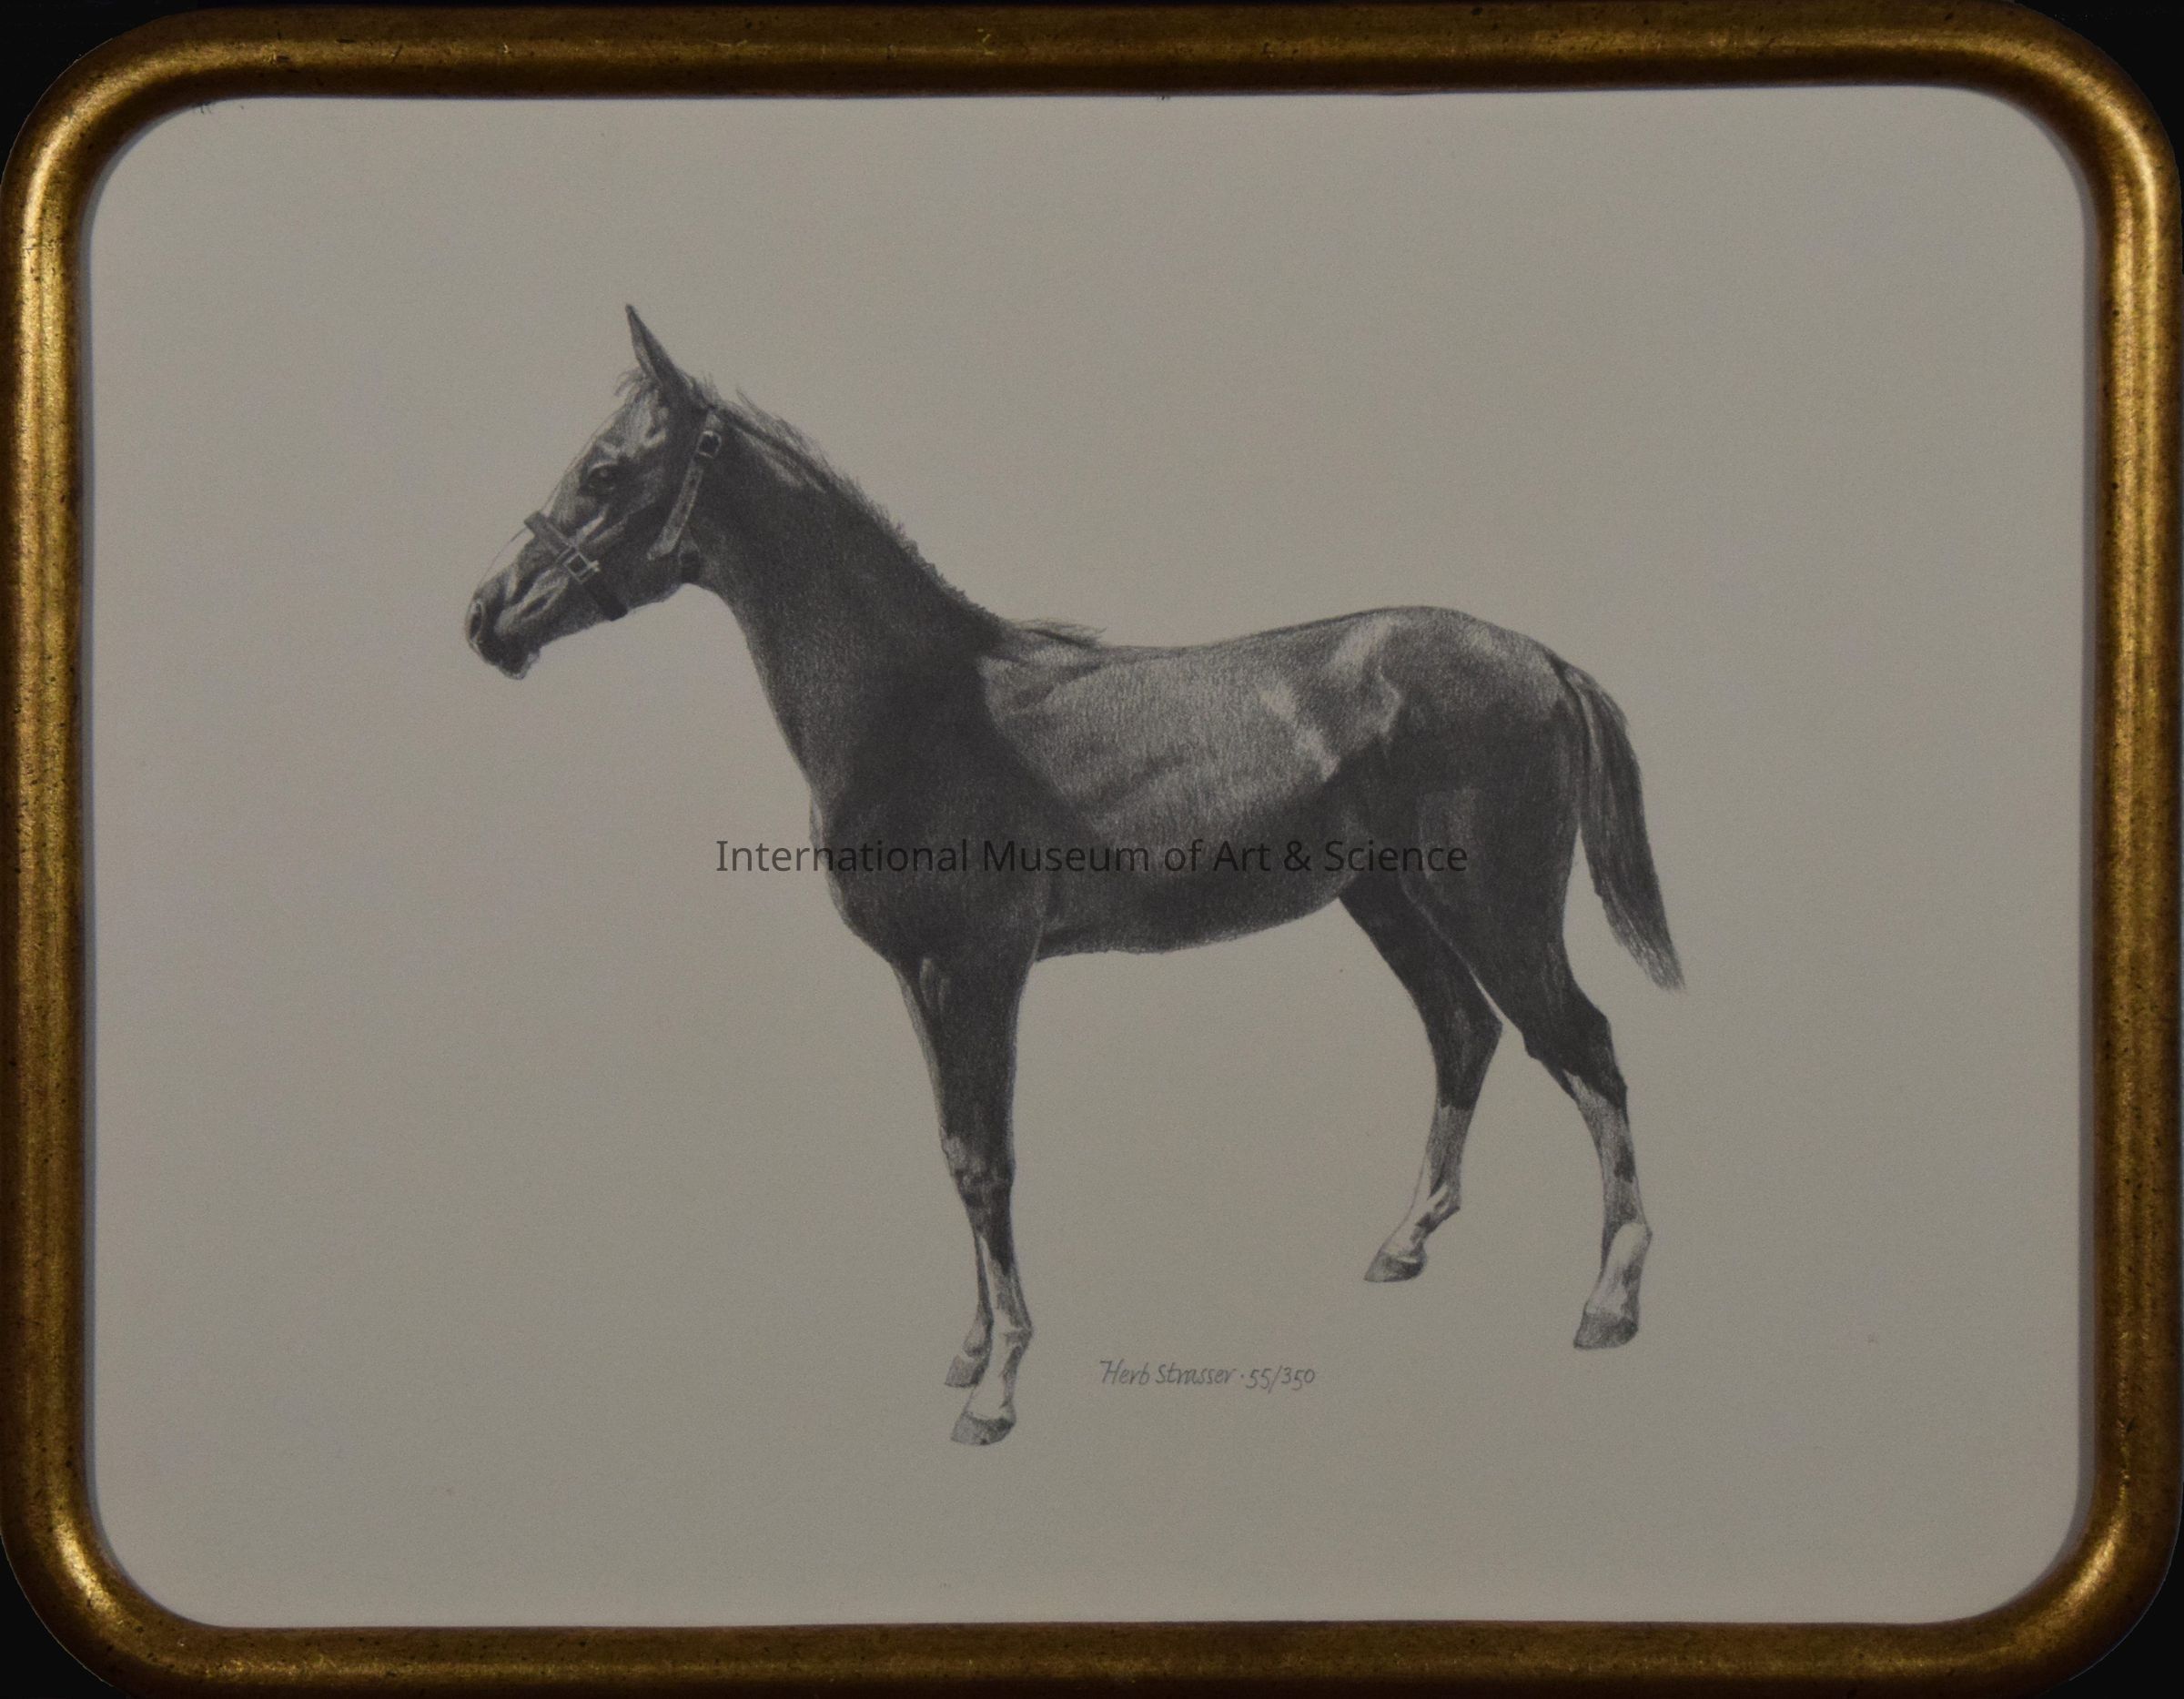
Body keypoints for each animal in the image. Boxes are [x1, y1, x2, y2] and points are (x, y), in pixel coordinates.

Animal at [466, 308, 1683, 1446]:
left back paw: (1611, 1302)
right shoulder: (920, 978)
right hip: (1389, 901)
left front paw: (998, 1387)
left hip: (1495, 909)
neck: (925, 706)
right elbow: (953, 1148)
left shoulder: (976, 970)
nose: (487, 616)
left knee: (1582, 1047)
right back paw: (1406, 1242)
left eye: (605, 470)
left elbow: (987, 1160)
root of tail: (1541, 660)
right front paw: (968, 1350)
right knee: (1463, 1033)